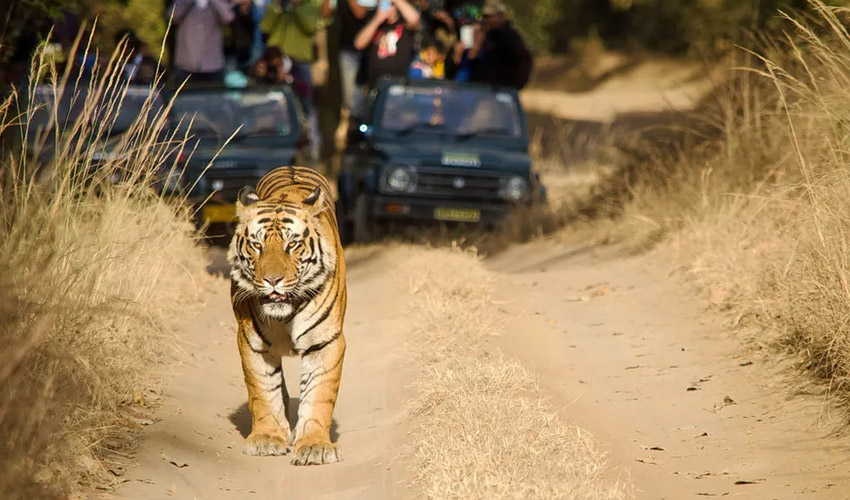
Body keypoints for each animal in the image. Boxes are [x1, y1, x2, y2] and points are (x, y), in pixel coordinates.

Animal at [227, 166, 346, 466]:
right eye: (257, 245)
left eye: (292, 245)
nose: (272, 280)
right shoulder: (252, 342)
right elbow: (263, 390)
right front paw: (268, 438)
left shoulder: (326, 341)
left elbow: (319, 394)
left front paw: (314, 446)